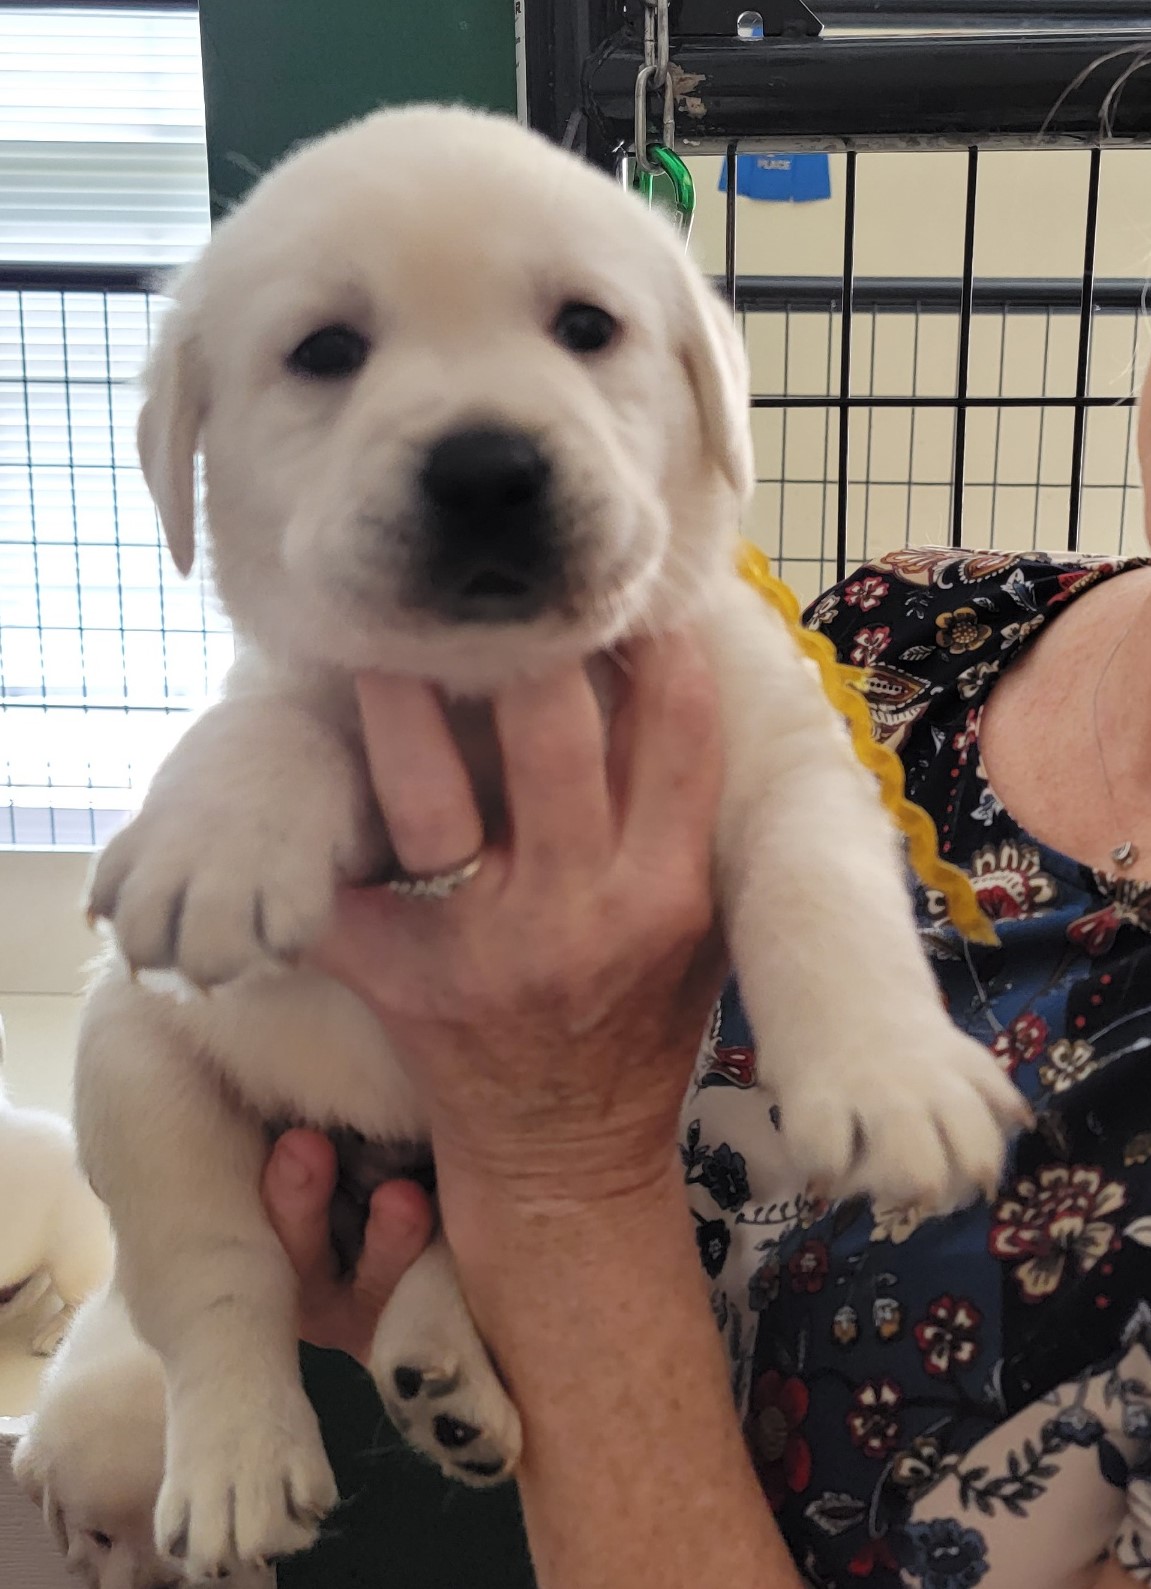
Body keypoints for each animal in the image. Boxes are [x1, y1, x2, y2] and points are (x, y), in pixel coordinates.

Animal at [74, 105, 1023, 1582]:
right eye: (325, 351)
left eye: (586, 325)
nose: (486, 469)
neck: (498, 692)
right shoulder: (336, 697)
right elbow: (284, 710)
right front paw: (221, 824)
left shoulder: (775, 748)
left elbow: (819, 892)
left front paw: (892, 1076)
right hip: (132, 1063)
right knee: (216, 1283)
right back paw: (239, 1459)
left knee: (458, 1235)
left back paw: (441, 1371)